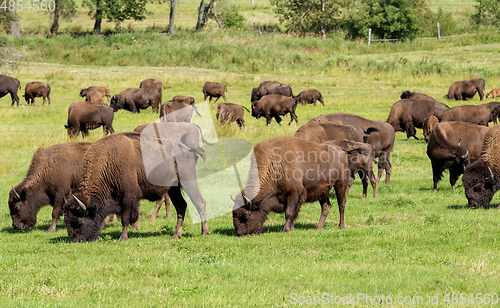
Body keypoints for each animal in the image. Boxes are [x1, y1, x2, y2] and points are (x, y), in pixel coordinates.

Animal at [62, 131, 209, 242]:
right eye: (67, 222)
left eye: (78, 221)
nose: (75, 240)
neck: (108, 162)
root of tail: (187, 149)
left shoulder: (128, 195)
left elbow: (125, 218)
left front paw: (123, 237)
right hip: (173, 188)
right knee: (181, 206)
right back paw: (176, 235)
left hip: (187, 181)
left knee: (200, 202)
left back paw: (204, 232)